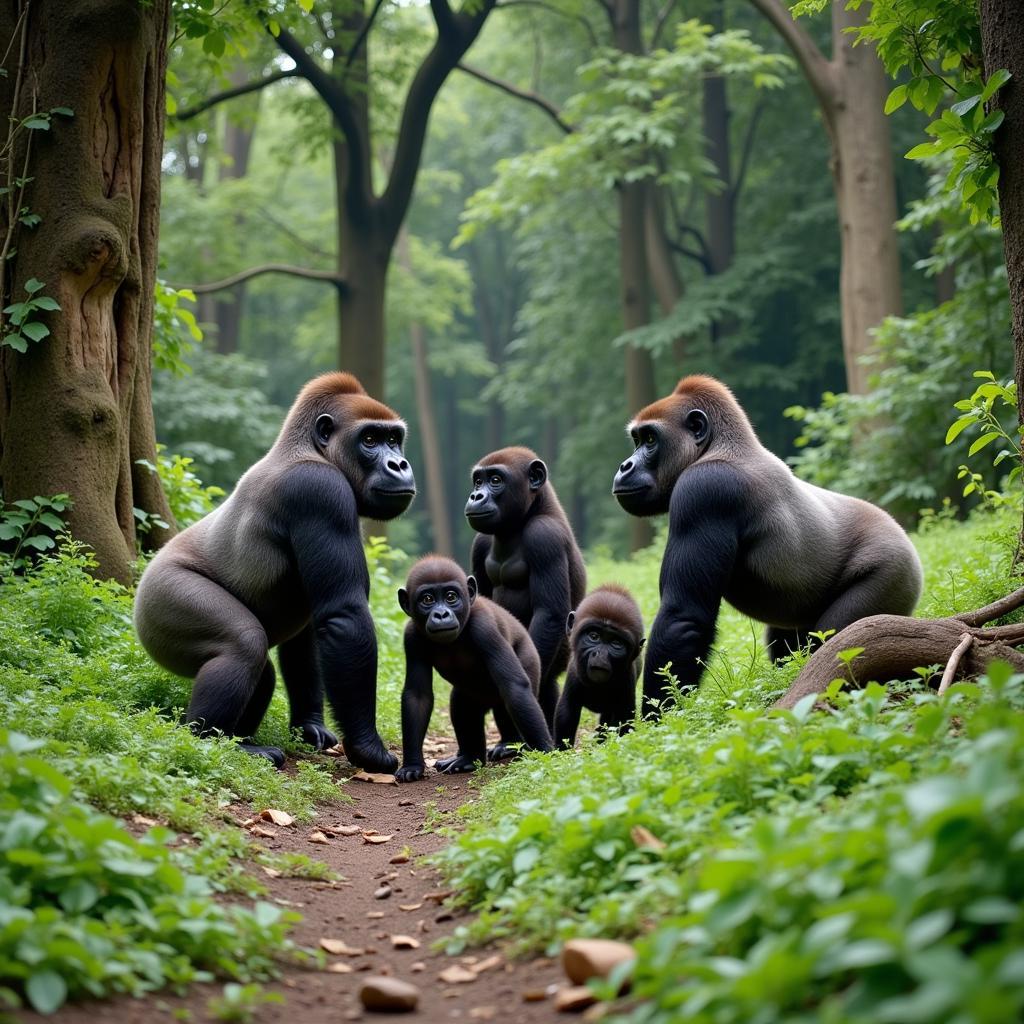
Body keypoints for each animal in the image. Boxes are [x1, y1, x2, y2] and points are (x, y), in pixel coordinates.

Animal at [134, 372, 413, 770]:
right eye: (371, 439)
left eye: (394, 439)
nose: (399, 465)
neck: (307, 447)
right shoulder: (320, 491)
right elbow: (344, 616)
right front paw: (367, 747)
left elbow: (309, 636)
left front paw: (310, 725)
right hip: (160, 599)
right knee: (243, 644)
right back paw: (210, 742)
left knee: (261, 672)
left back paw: (239, 739)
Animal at [393, 557, 552, 778]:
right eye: (427, 599)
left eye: (451, 597)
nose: (441, 614)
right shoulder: (411, 637)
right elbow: (417, 696)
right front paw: (412, 765)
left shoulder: (484, 627)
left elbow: (515, 687)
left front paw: (545, 752)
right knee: (462, 704)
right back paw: (469, 758)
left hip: (530, 658)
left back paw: (508, 745)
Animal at [464, 448, 585, 761]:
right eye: (478, 480)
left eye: (495, 480)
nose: (475, 496)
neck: (536, 508)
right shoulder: (480, 539)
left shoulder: (544, 536)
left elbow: (548, 615)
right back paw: (509, 740)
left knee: (544, 679)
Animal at [557, 589, 643, 749]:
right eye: (594, 636)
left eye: (616, 643)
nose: (601, 655)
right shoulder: (574, 671)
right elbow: (567, 712)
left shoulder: (627, 678)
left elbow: (624, 719)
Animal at [610, 372, 925, 716]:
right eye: (637, 440)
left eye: (650, 440)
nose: (625, 466)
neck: (720, 445)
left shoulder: (704, 490)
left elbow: (683, 616)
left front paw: (661, 717)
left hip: (895, 572)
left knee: (837, 639)